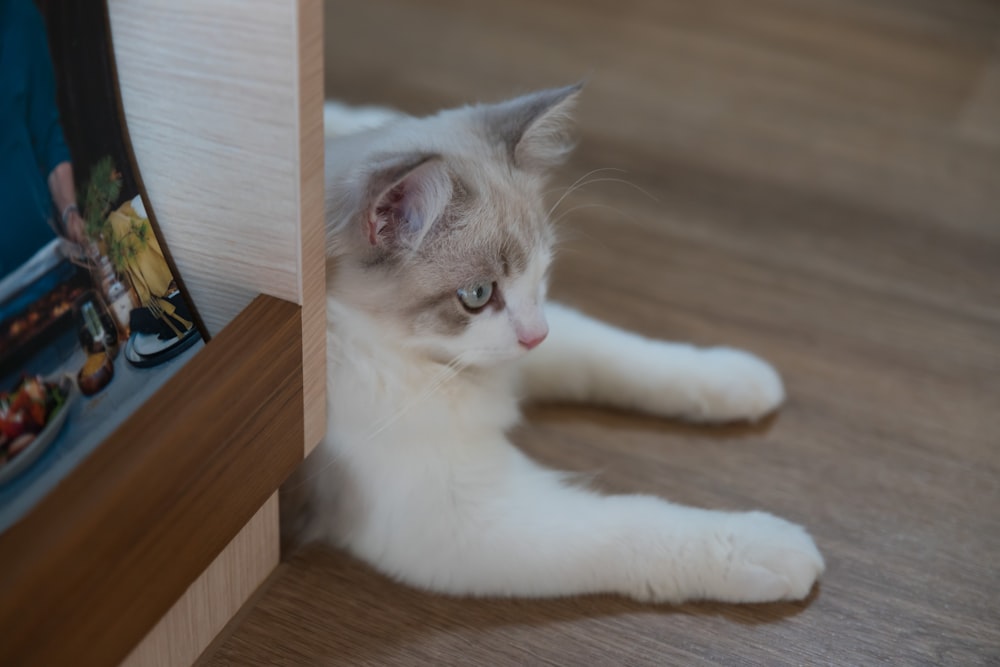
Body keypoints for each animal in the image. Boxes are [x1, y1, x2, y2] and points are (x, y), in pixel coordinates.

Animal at [292, 85, 824, 604]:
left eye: (541, 272)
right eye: (477, 295)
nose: (536, 337)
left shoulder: (533, 340)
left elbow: (619, 357)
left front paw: (739, 377)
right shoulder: (462, 520)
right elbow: (635, 526)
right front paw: (768, 549)